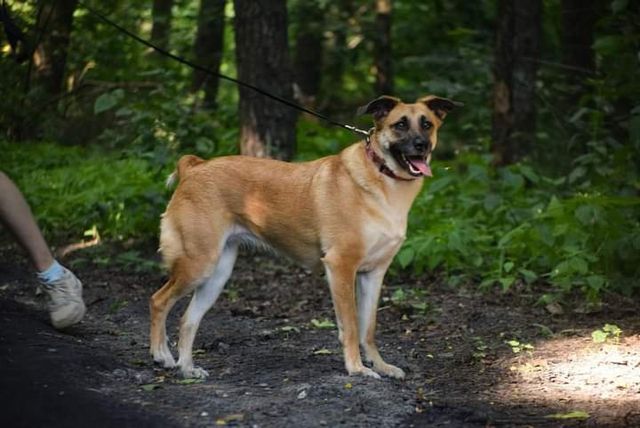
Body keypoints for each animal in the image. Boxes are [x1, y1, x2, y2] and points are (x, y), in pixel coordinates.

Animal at [150, 95, 460, 380]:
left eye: (427, 124)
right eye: (400, 125)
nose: (421, 145)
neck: (382, 178)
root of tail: (194, 167)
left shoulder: (373, 274)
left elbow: (368, 328)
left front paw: (380, 365)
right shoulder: (340, 267)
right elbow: (350, 326)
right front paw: (357, 368)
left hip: (217, 273)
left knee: (188, 320)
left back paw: (188, 368)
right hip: (198, 263)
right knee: (159, 300)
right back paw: (162, 355)